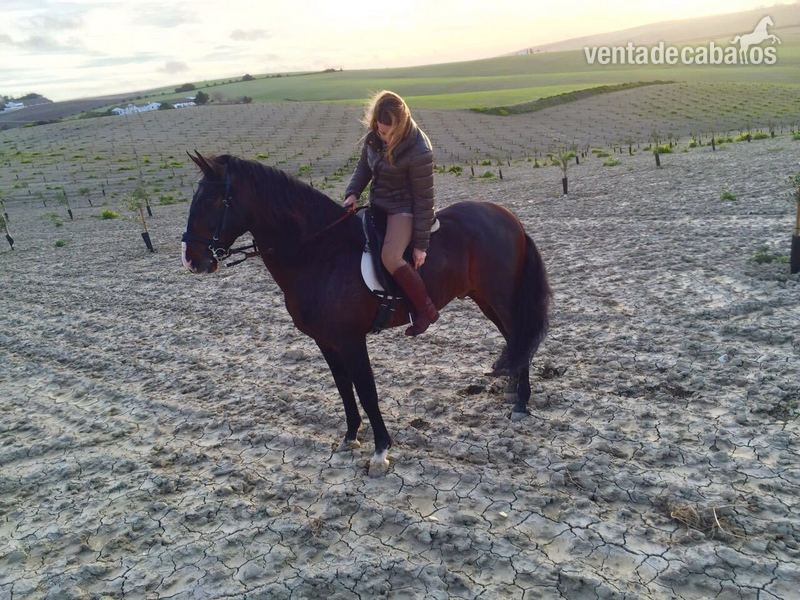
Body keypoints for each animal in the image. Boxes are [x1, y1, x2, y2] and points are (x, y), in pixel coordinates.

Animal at [181, 151, 551, 476]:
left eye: (214, 201)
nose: (191, 259)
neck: (318, 252)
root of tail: (508, 217)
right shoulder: (325, 341)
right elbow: (344, 387)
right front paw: (350, 437)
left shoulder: (350, 340)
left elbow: (367, 391)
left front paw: (380, 451)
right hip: (484, 299)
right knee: (515, 339)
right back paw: (514, 391)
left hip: (500, 298)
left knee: (521, 335)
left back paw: (521, 402)